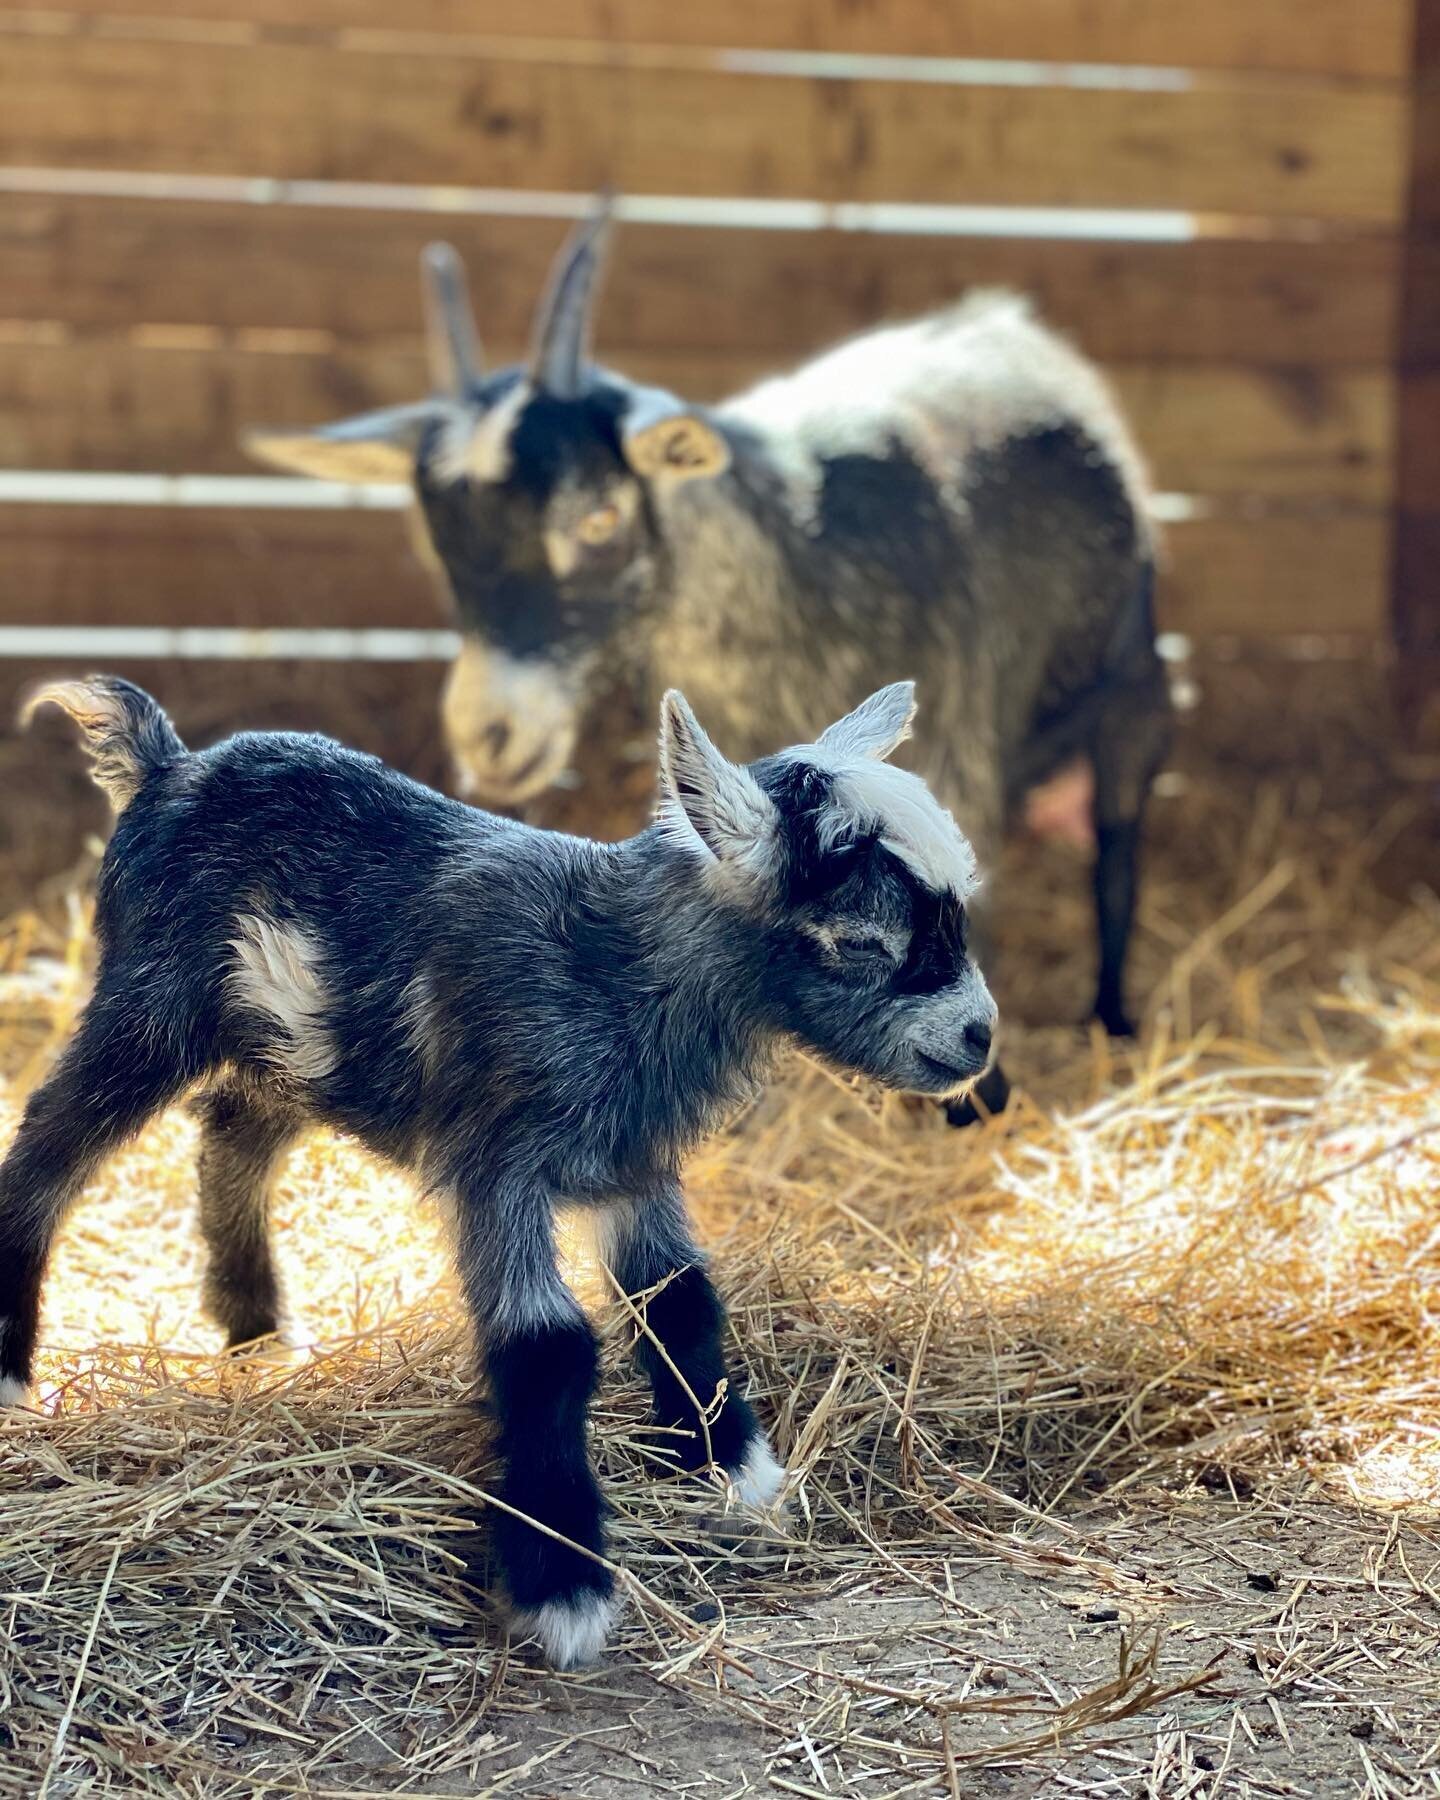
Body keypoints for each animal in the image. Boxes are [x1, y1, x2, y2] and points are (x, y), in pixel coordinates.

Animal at [0, 675, 994, 1668]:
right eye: (863, 941)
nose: (979, 1037)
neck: (606, 972)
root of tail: (167, 762)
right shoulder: (496, 1162)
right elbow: (547, 1345)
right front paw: (564, 1581)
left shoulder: (632, 1166)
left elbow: (680, 1301)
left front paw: (733, 1472)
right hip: (154, 999)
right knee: (46, 1153)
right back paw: (15, 1371)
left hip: (291, 1051)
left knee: (230, 1134)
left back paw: (260, 1334)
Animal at [248, 205, 1172, 1119]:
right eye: (430, 533)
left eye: (599, 516)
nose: (490, 733)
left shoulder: (954, 762)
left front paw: (979, 1103)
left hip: (1134, 680)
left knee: (1119, 842)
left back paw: (1114, 1020)